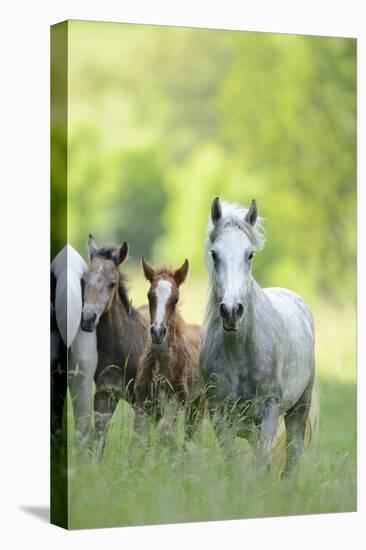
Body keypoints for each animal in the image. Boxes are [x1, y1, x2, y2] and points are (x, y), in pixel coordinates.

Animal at [134, 258, 204, 440]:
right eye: (149, 296)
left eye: (175, 299)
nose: (158, 332)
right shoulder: (143, 403)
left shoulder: (176, 403)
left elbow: (163, 432)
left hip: (199, 403)